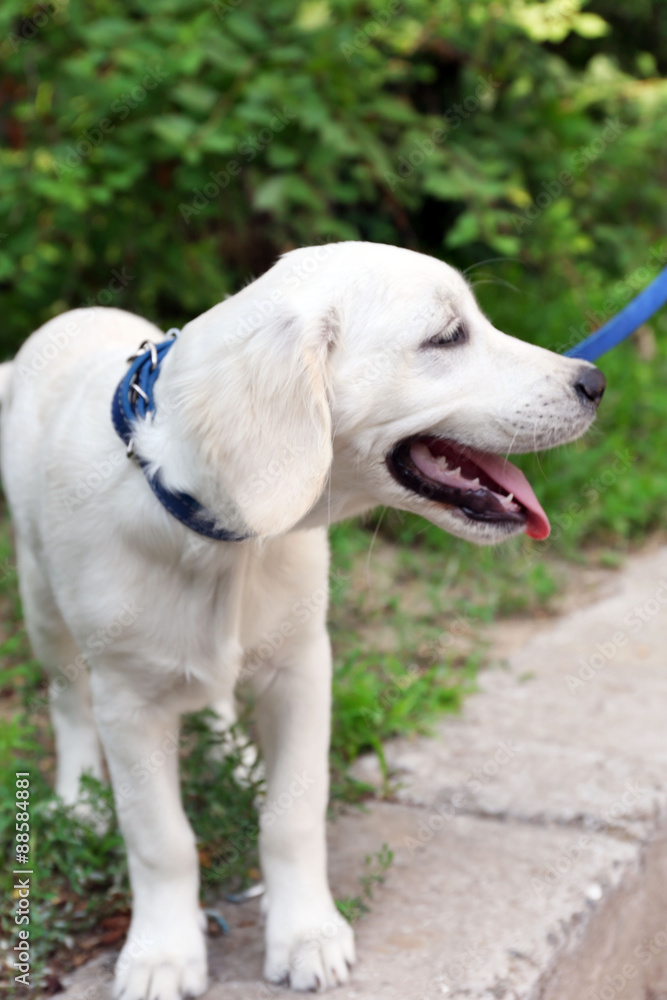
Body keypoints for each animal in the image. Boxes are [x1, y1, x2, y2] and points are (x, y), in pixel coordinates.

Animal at [0, 242, 604, 1000]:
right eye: (446, 337)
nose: (595, 381)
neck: (225, 545)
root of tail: (72, 318)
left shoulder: (301, 666)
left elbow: (292, 814)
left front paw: (305, 933)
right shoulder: (127, 700)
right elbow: (159, 838)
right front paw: (162, 953)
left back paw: (233, 761)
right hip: (40, 597)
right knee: (66, 699)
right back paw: (78, 799)